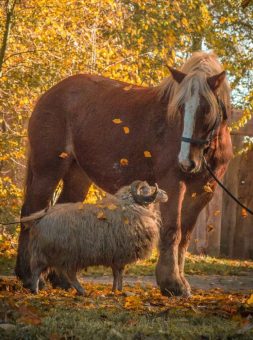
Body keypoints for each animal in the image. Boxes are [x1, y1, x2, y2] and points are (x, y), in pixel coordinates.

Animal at [21, 181, 168, 294]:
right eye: (146, 188)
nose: (165, 194)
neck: (132, 207)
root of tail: (41, 216)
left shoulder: (114, 255)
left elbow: (115, 273)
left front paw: (114, 290)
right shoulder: (121, 253)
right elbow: (120, 273)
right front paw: (119, 290)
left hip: (55, 253)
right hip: (62, 253)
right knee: (47, 272)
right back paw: (38, 290)